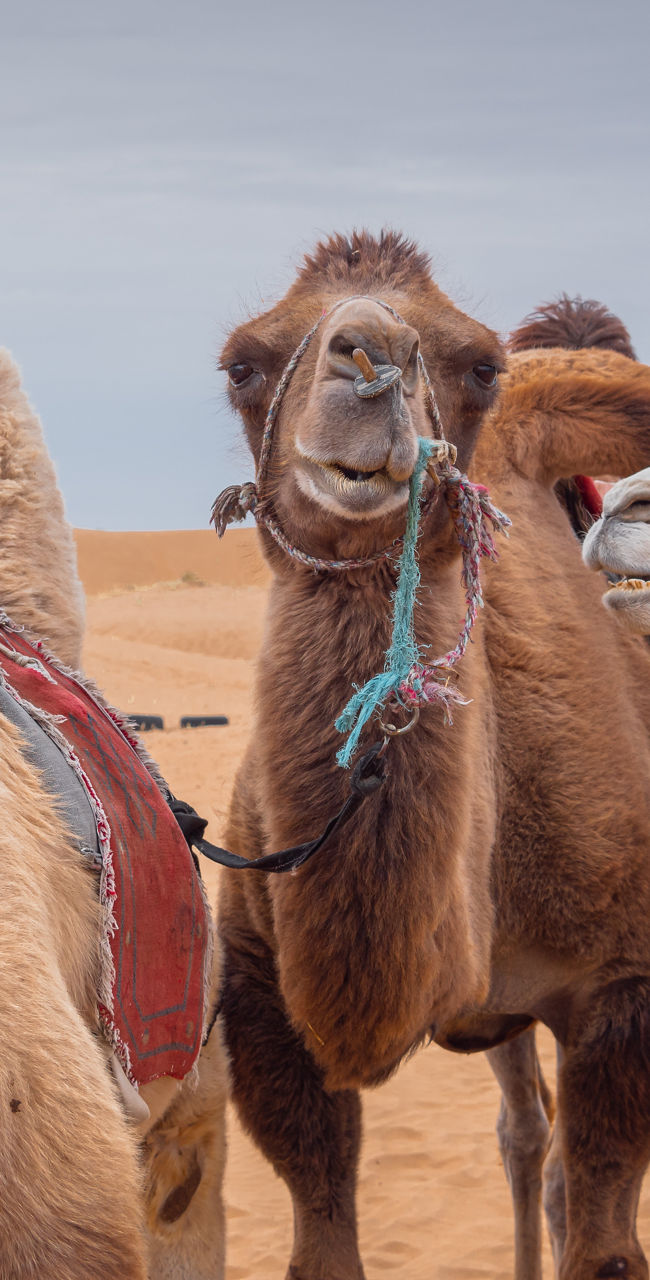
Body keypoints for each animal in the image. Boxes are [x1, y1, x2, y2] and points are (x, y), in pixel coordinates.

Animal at [215, 231, 650, 1280]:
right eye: (242, 365)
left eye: (480, 366)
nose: (367, 358)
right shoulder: (260, 997)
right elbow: (321, 1243)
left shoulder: (623, 995)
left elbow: (608, 1248)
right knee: (524, 1135)